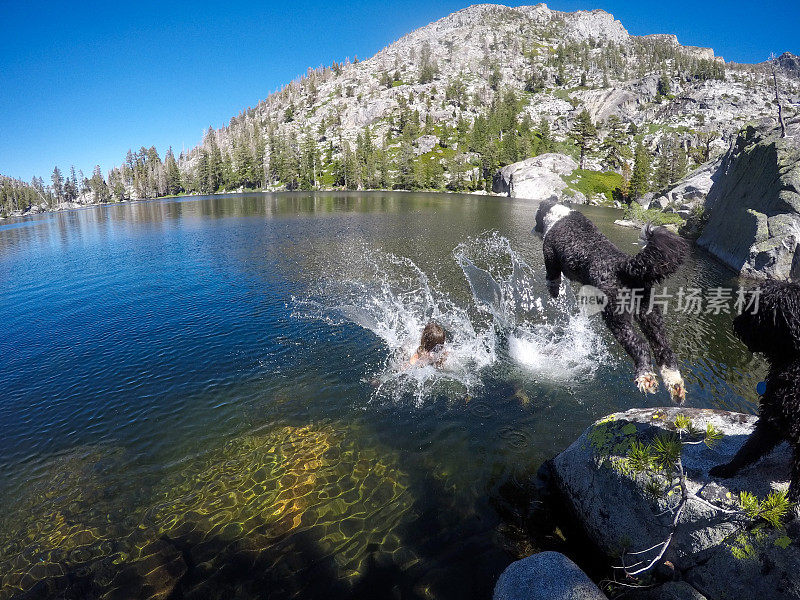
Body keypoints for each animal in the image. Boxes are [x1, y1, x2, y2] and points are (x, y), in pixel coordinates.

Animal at [532, 202, 688, 404]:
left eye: (536, 218)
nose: (533, 230)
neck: (559, 217)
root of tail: (627, 267)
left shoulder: (550, 257)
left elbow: (552, 279)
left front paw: (553, 293)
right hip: (650, 315)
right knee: (663, 348)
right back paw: (675, 384)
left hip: (616, 317)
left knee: (640, 345)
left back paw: (645, 377)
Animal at [708, 282, 800, 502]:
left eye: (757, 311)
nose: (736, 322)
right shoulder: (772, 419)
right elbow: (748, 450)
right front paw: (727, 469)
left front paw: (790, 504)